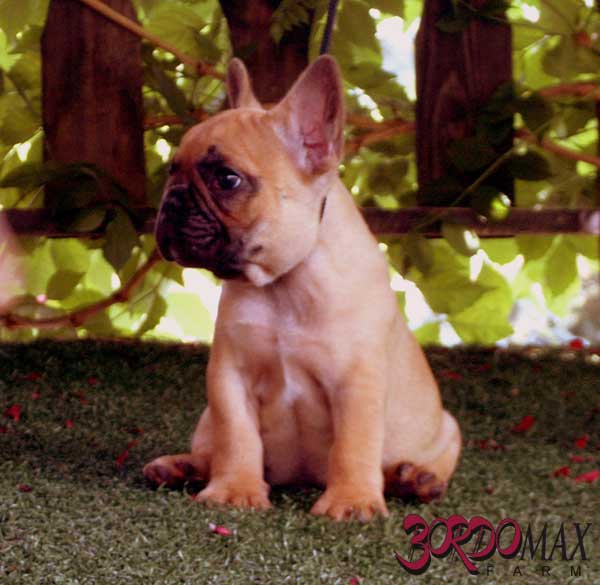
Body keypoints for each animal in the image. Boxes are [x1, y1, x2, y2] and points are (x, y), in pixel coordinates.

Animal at [144, 56, 461, 521]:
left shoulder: (357, 383)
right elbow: (235, 437)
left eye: (226, 179)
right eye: (172, 170)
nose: (172, 201)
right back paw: (181, 467)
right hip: (205, 420)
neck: (285, 283)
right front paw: (234, 489)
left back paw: (414, 479)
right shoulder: (229, 377)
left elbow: (353, 445)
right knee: (210, 449)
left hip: (446, 432)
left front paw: (351, 501)